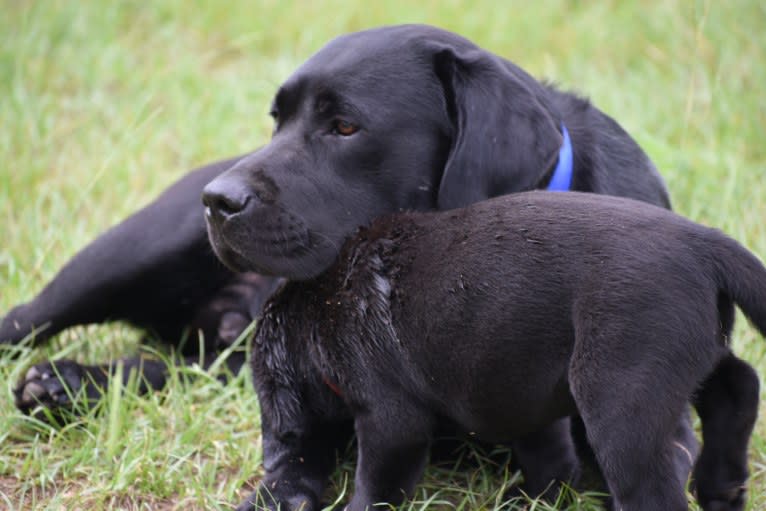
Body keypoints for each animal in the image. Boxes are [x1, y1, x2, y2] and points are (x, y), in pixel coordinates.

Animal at [243, 192, 764, 511]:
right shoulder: (527, 394)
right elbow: (550, 460)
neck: (321, 305)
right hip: (693, 349)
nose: (274, 461)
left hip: (622, 394)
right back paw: (722, 486)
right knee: (737, 386)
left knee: (653, 488)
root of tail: (705, 244)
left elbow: (377, 483)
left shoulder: (391, 417)